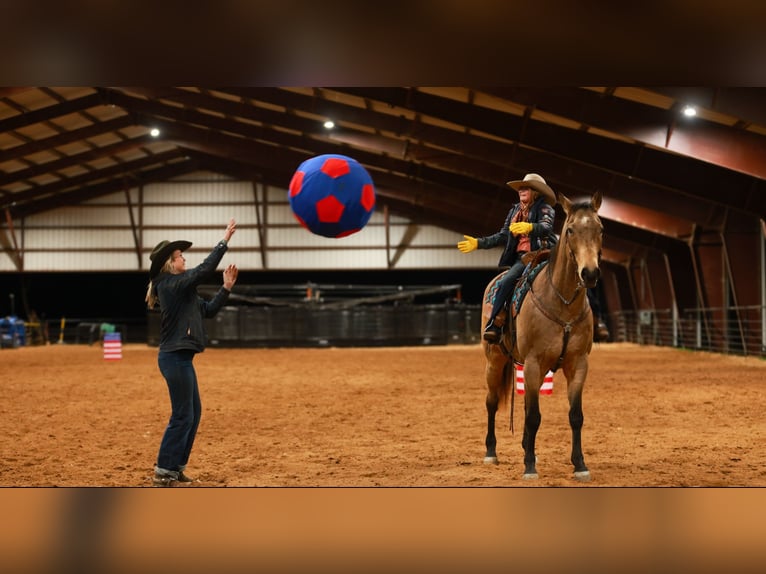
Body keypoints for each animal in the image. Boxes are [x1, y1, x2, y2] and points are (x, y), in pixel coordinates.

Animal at [481, 190, 603, 481]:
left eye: (600, 229)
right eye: (570, 230)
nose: (589, 273)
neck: (562, 301)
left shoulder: (578, 364)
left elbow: (575, 415)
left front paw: (580, 464)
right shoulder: (534, 363)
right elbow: (534, 417)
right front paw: (529, 466)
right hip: (494, 361)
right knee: (492, 402)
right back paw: (491, 452)